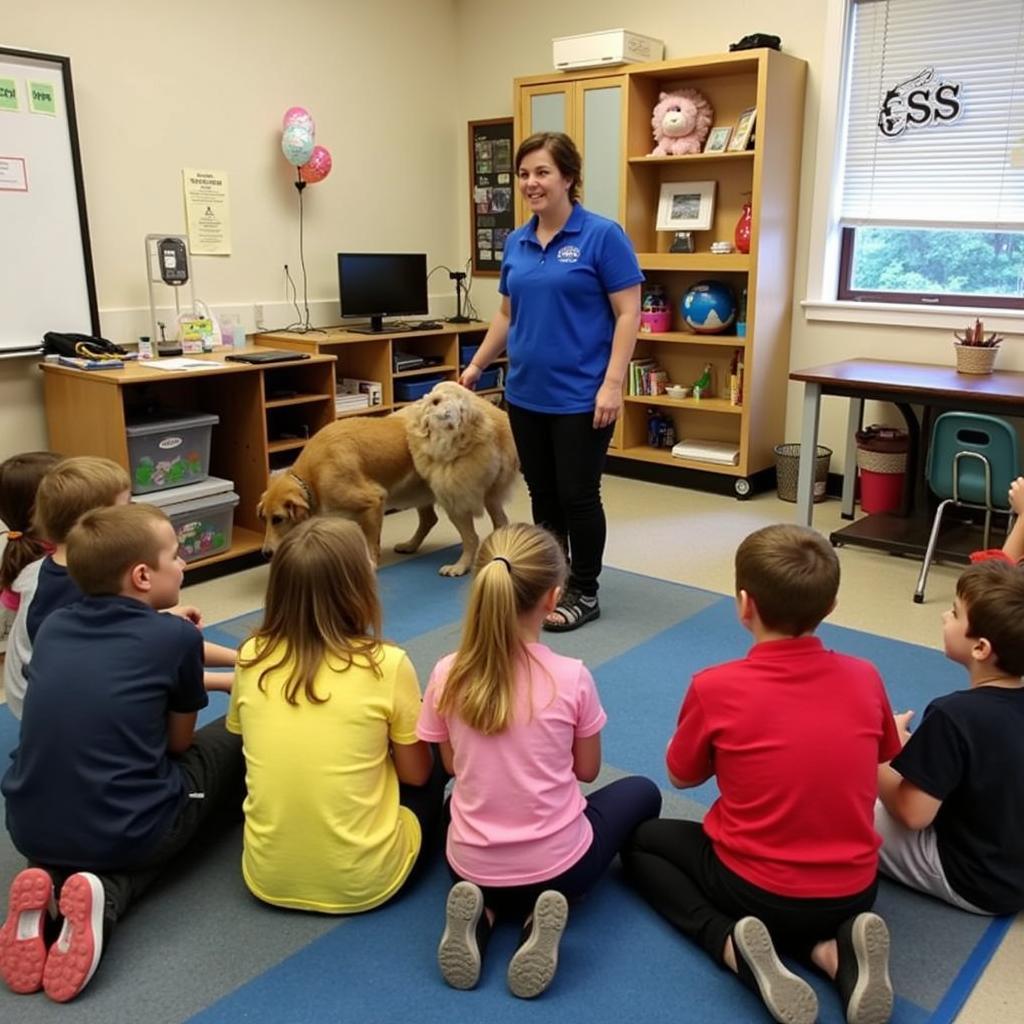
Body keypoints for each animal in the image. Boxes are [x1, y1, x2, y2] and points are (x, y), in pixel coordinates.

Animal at [403, 385, 520, 577]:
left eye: (460, 407)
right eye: (435, 402)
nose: (449, 412)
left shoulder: (463, 493)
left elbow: (471, 536)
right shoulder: (455, 498)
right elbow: (470, 537)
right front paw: (461, 565)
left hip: (488, 495)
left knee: (496, 523)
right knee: (499, 522)